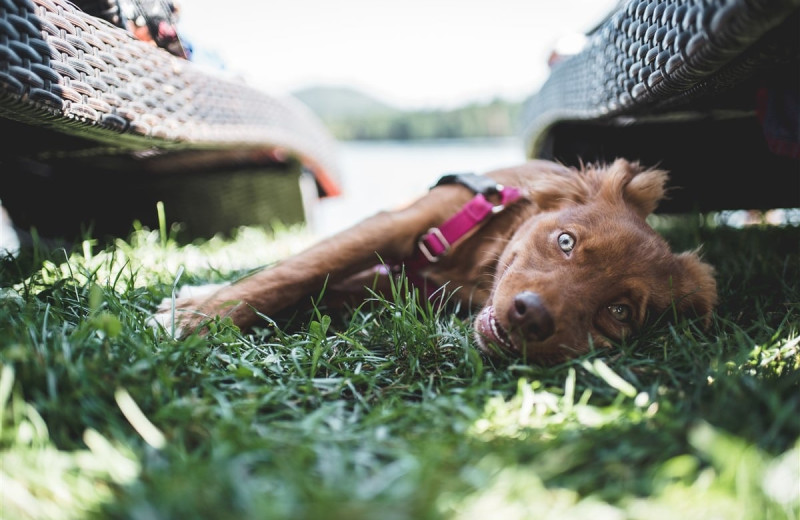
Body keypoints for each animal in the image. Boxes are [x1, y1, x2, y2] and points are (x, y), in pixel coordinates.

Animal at [153, 158, 716, 366]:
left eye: (618, 312)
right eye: (565, 242)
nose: (530, 316)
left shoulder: (396, 282)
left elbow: (316, 284)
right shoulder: (394, 225)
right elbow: (295, 272)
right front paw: (196, 317)